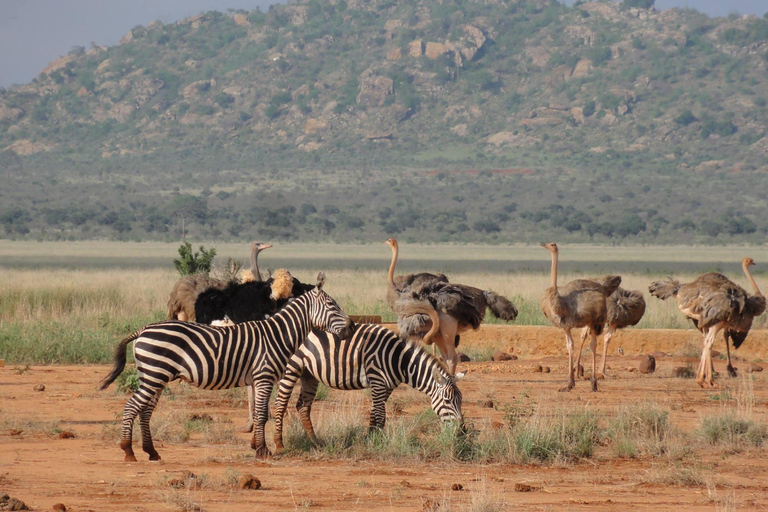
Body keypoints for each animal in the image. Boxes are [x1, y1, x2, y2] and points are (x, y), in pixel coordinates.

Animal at [97, 274, 356, 462]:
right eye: (332, 305)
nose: (352, 327)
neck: (277, 335)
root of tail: (143, 329)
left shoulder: (259, 379)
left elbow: (261, 413)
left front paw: (258, 447)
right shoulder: (264, 376)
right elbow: (262, 414)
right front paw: (263, 451)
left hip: (154, 376)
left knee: (145, 411)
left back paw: (151, 452)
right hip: (154, 375)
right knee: (132, 407)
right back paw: (129, 452)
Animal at [272, 322, 464, 454]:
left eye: (461, 401)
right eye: (447, 400)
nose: (462, 432)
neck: (399, 360)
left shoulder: (387, 387)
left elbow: (373, 413)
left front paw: (370, 438)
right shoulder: (377, 380)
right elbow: (380, 415)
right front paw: (379, 442)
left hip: (309, 374)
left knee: (303, 406)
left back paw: (314, 441)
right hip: (292, 367)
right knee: (280, 404)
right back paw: (279, 444)